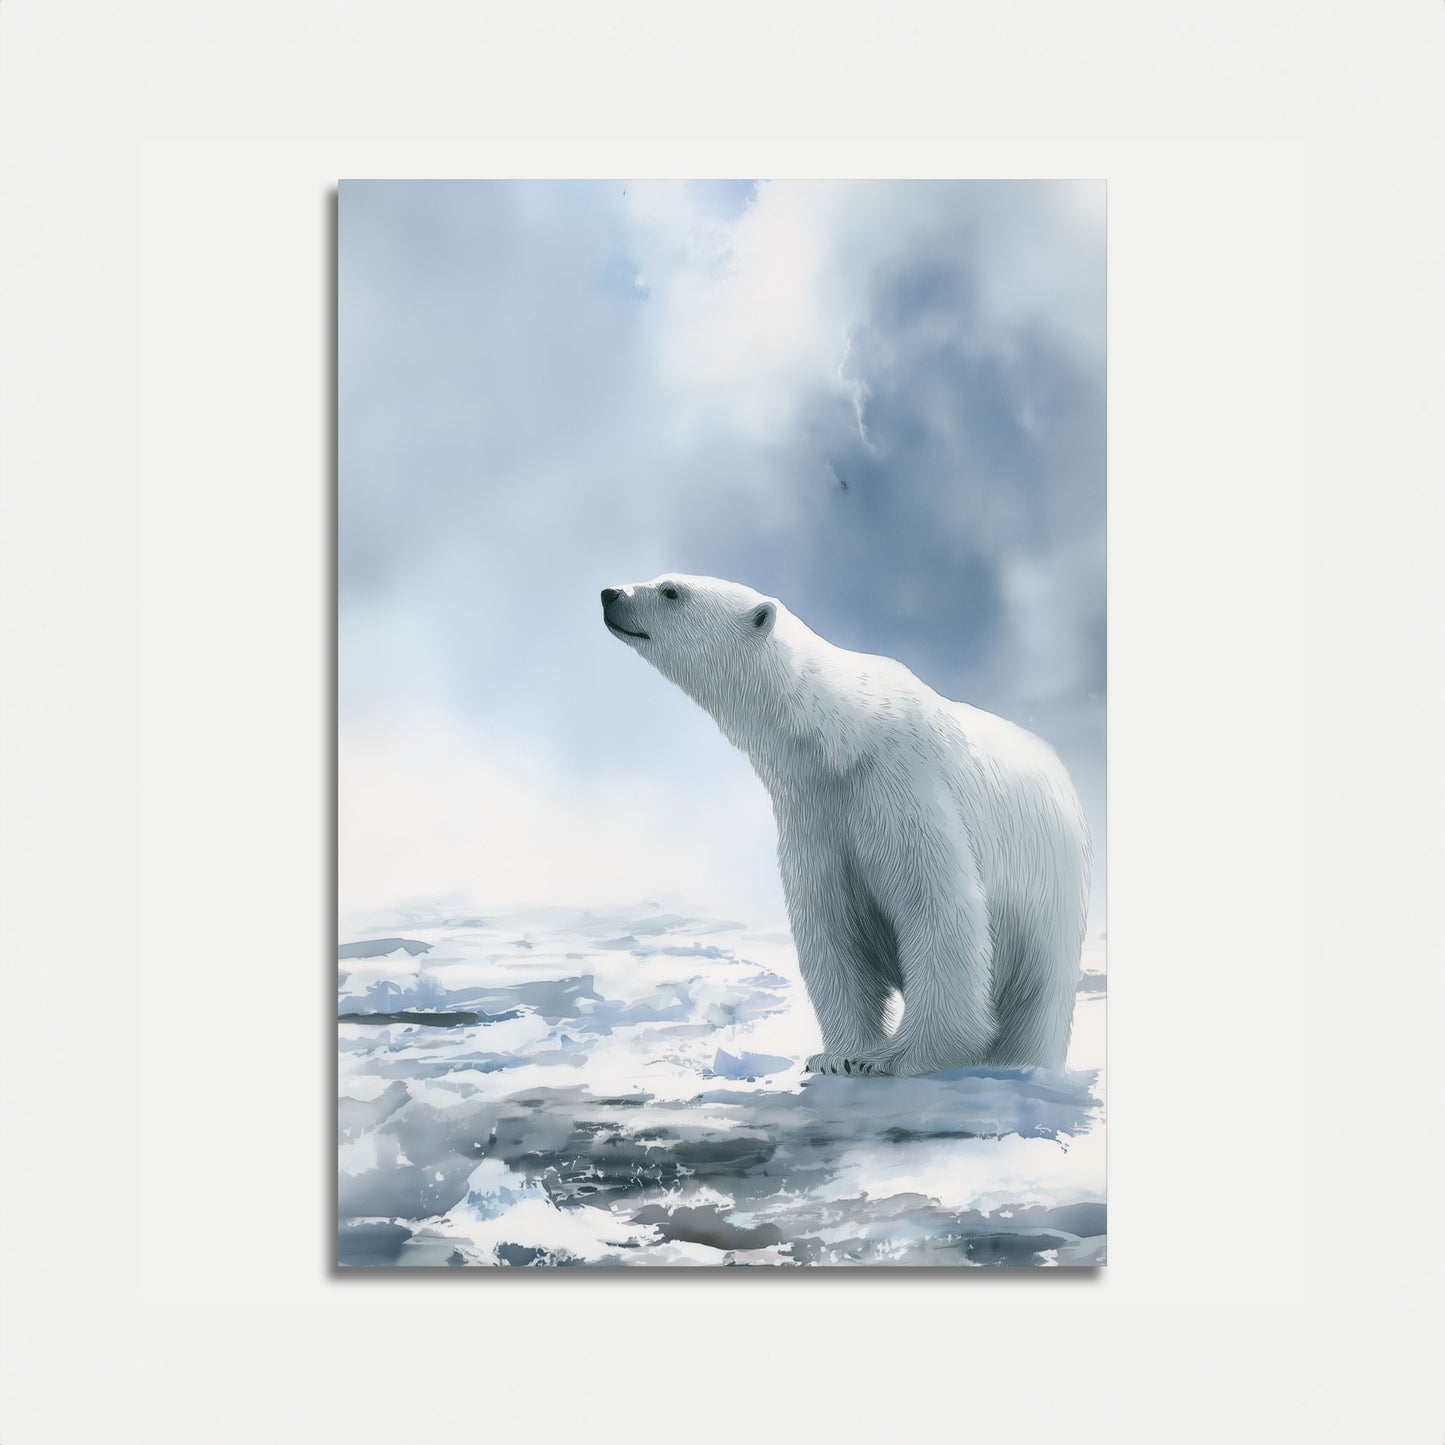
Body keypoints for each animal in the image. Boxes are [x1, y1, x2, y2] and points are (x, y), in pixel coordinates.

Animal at [601, 574, 1091, 1077]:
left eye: (671, 591)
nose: (610, 594)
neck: (841, 739)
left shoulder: (904, 791)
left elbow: (937, 910)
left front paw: (896, 1058)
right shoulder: (815, 815)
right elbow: (830, 925)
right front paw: (839, 1056)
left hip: (1051, 881)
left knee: (1041, 991)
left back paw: (1022, 1061)